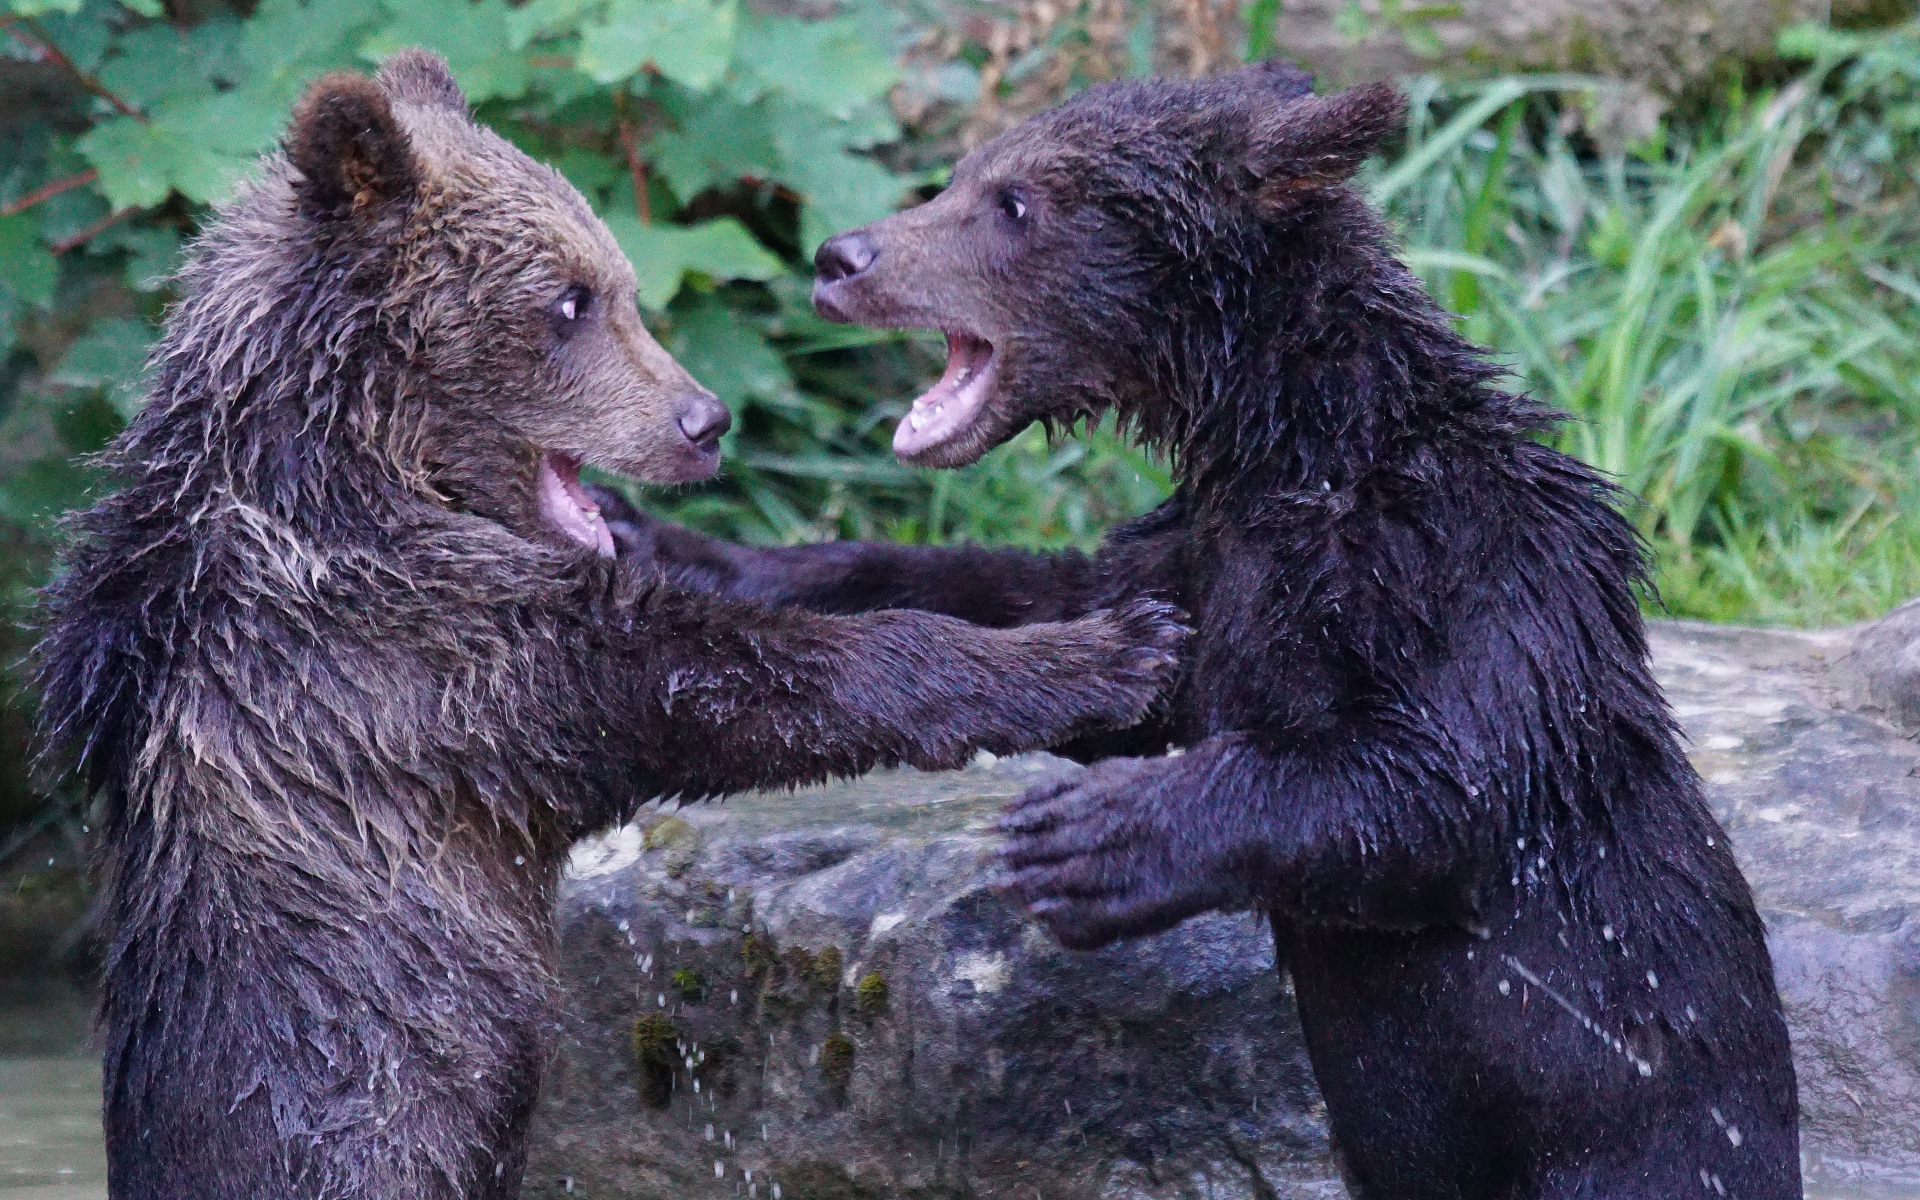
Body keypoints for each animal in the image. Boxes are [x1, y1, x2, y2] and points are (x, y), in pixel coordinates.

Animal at [37, 49, 1182, 1198]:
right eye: (568, 299)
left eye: (621, 284)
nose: (704, 420)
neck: (347, 470)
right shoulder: (397, 653)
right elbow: (722, 680)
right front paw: (1116, 647)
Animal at [595, 63, 1797, 1198]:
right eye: (963, 173)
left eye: (1014, 202)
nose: (840, 256)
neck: (1298, 448)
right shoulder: (1205, 560)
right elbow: (1051, 607)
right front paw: (677, 544)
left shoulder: (1460, 562)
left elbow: (1439, 777)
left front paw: (1088, 841)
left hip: (1637, 1147)